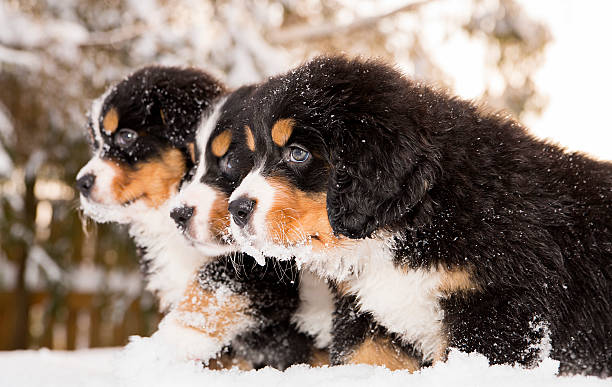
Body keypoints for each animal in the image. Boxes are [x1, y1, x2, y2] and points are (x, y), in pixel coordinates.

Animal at [76, 66, 322, 370]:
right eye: (96, 143)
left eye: (127, 137)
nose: (82, 183)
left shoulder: (266, 265)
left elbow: (214, 283)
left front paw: (176, 338)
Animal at [226, 56, 612, 378]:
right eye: (253, 156)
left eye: (298, 153)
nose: (236, 209)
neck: (418, 220)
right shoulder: (369, 319)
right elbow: (360, 359)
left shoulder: (497, 310)